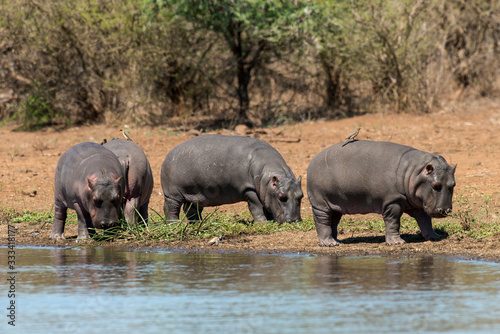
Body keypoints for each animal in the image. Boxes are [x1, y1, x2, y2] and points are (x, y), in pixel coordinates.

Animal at [162, 134, 302, 223]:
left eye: (301, 196)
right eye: (281, 197)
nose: (294, 221)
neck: (267, 180)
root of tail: (168, 154)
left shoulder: (265, 192)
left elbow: (267, 207)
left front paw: (271, 220)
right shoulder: (249, 189)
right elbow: (256, 207)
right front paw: (263, 223)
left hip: (194, 194)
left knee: (190, 209)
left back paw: (199, 223)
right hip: (172, 194)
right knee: (171, 208)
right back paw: (174, 224)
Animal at [306, 140, 456, 247]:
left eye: (453, 184)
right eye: (435, 185)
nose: (445, 210)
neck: (415, 172)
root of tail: (313, 160)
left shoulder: (419, 203)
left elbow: (425, 220)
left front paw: (435, 237)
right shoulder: (392, 201)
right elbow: (393, 221)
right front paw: (397, 242)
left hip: (336, 204)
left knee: (333, 221)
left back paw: (337, 241)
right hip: (321, 203)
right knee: (322, 221)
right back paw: (329, 244)